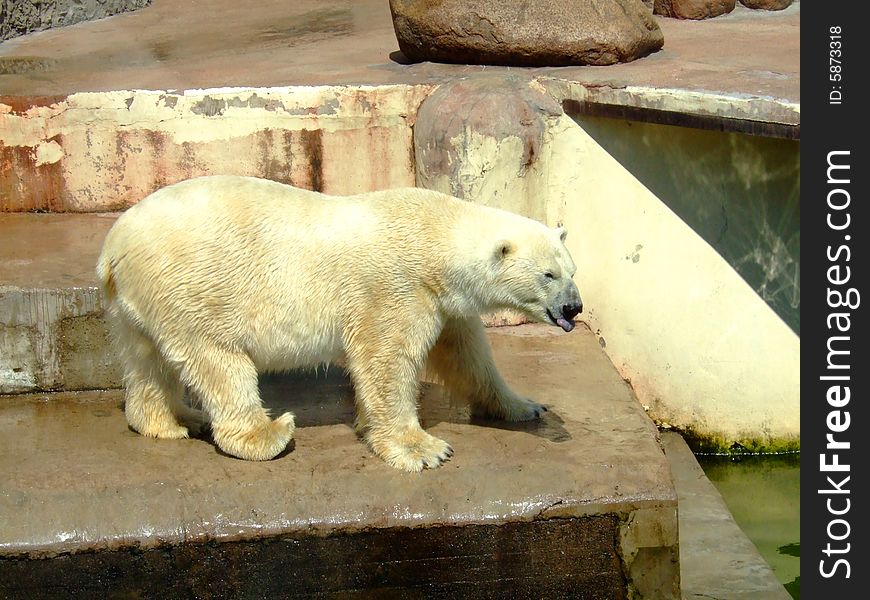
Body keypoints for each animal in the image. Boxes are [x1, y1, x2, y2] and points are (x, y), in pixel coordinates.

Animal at [97, 176, 584, 472]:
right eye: (548, 275)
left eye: (572, 269)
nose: (574, 308)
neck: (434, 238)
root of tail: (114, 244)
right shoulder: (397, 288)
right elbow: (387, 361)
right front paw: (424, 449)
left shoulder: (445, 303)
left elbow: (467, 357)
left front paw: (524, 406)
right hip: (195, 285)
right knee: (217, 360)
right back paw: (267, 434)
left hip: (140, 302)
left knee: (147, 360)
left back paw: (171, 420)